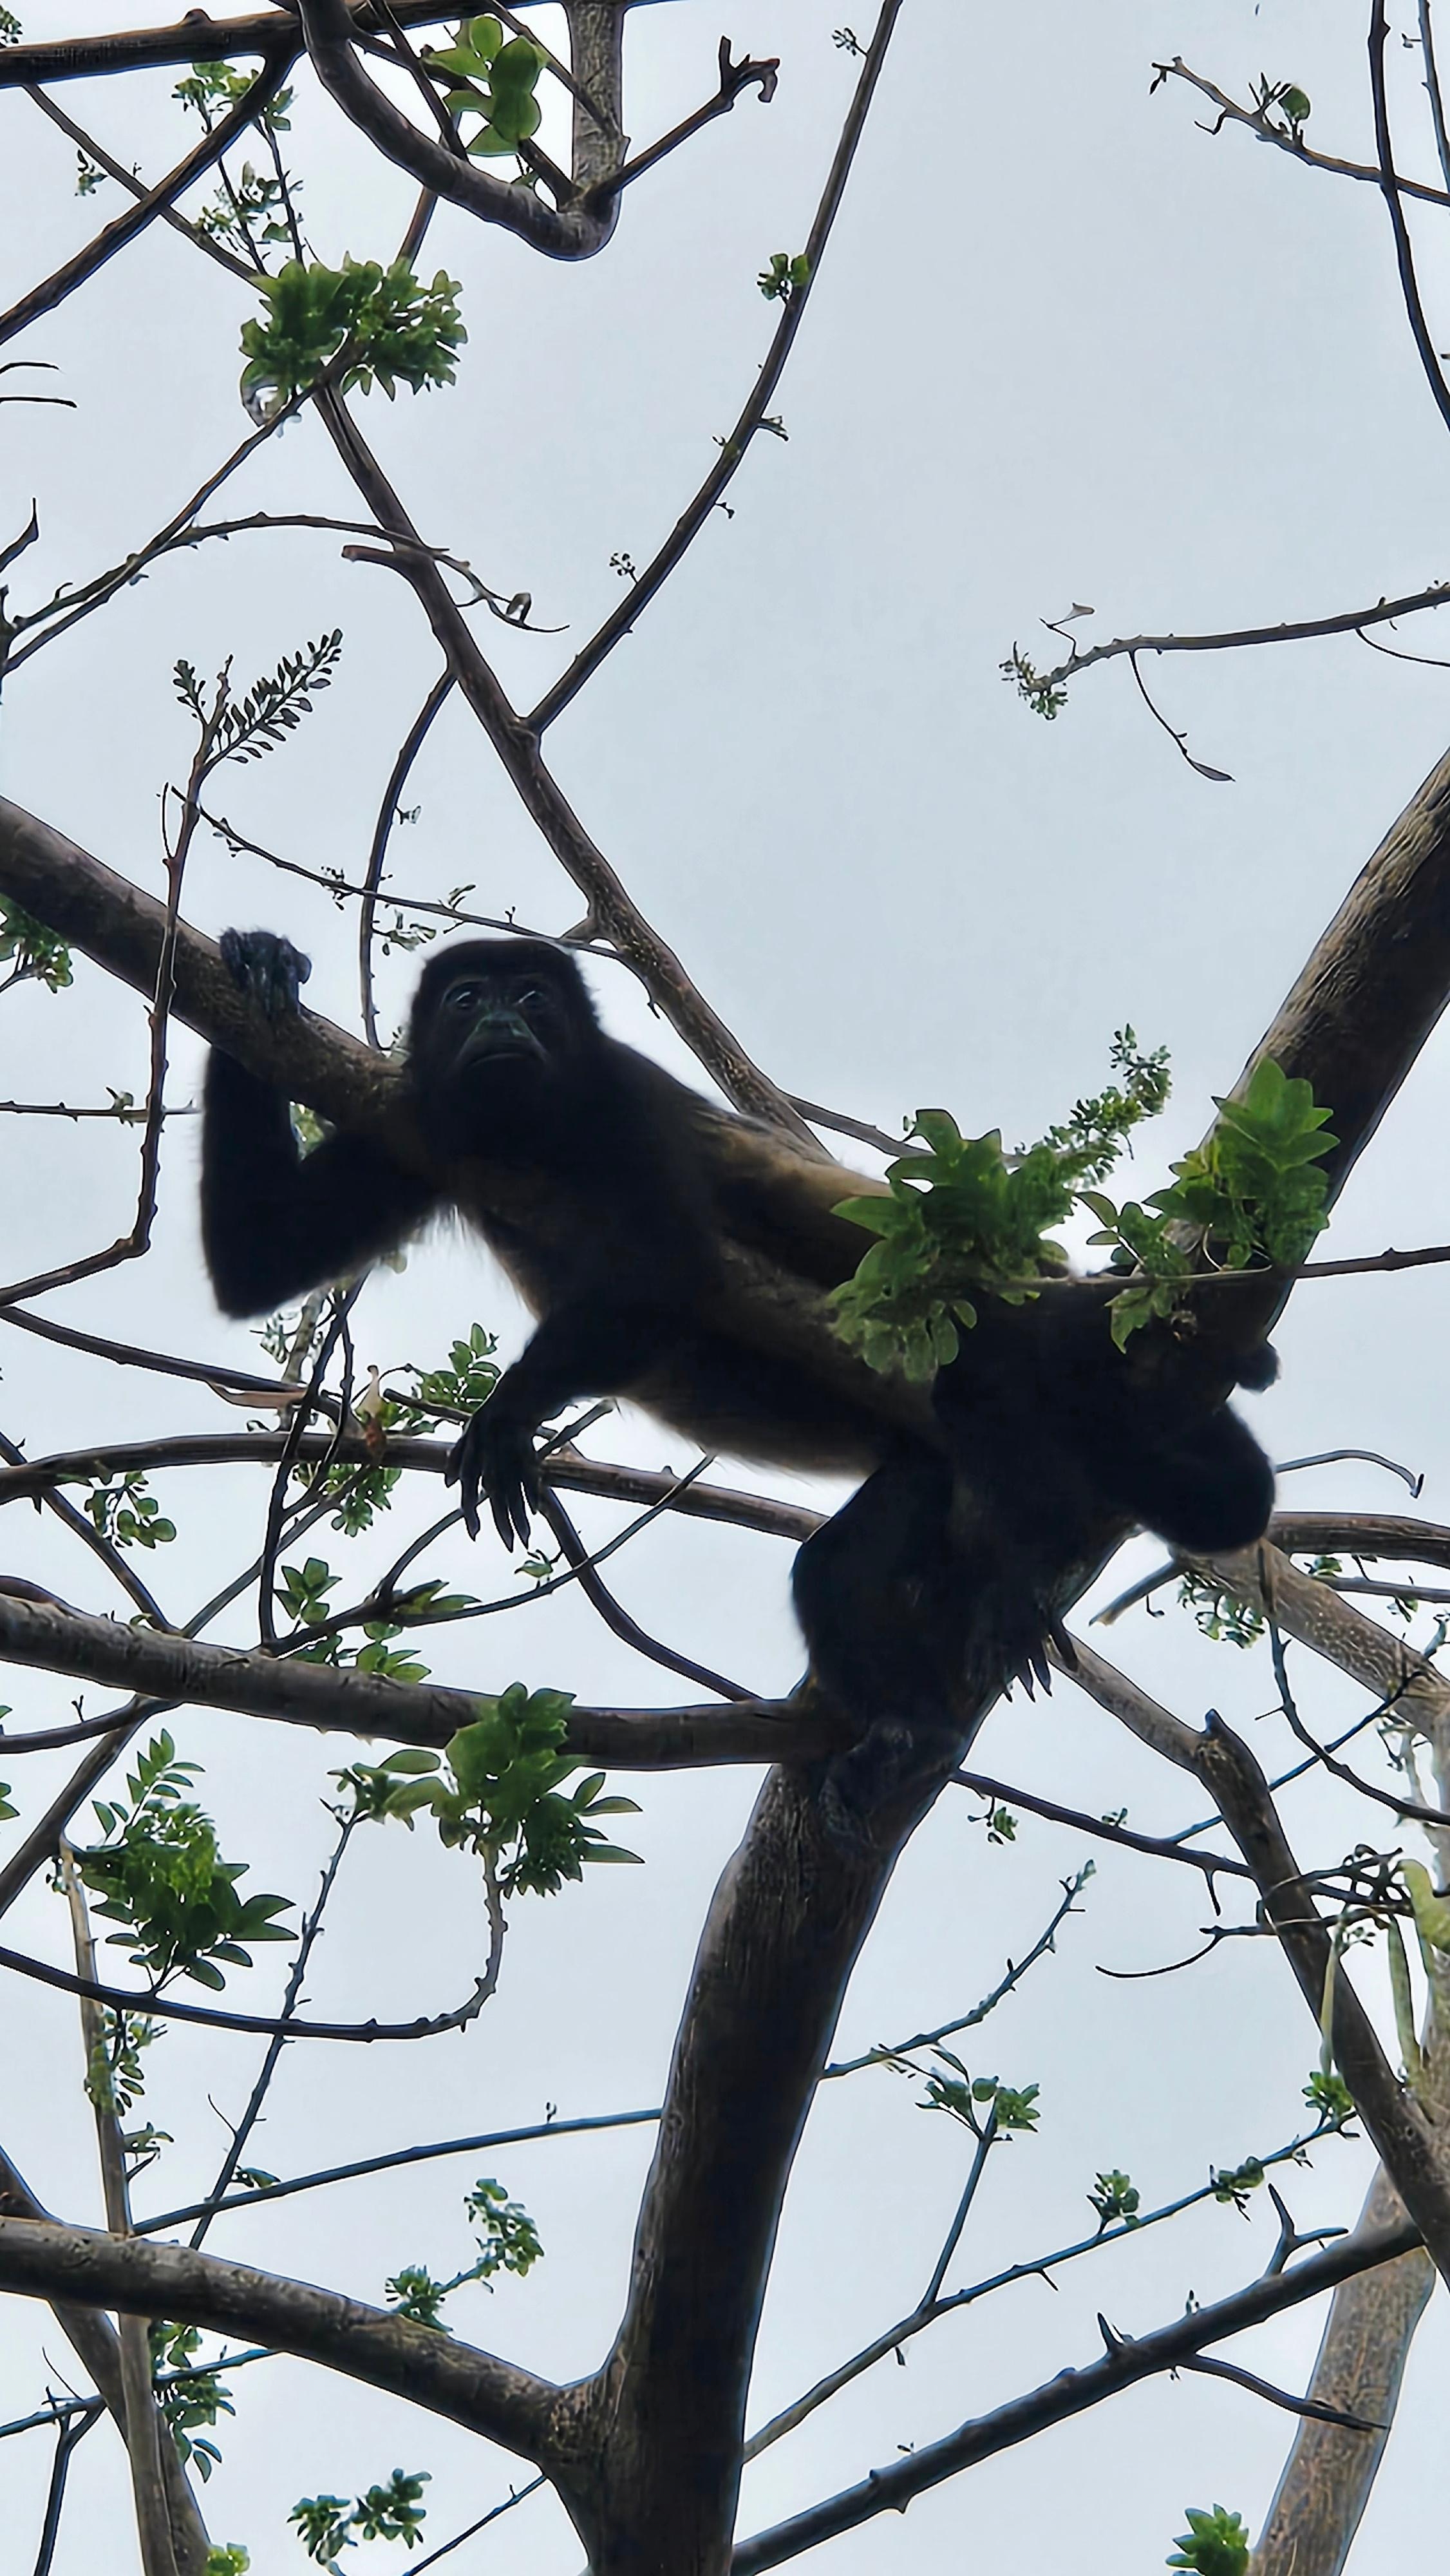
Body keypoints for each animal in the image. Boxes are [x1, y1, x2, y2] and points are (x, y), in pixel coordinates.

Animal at [201, 928, 1275, 1774]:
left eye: (534, 997)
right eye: (469, 998)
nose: (503, 1020)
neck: (531, 1129)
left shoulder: (624, 1102)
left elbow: (668, 1272)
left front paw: (507, 1414)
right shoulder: (415, 1121)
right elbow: (260, 1261)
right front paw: (261, 963)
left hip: (1015, 1328)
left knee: (988, 1394)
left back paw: (1019, 1578)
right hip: (923, 1471)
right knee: (832, 1568)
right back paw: (907, 1727)